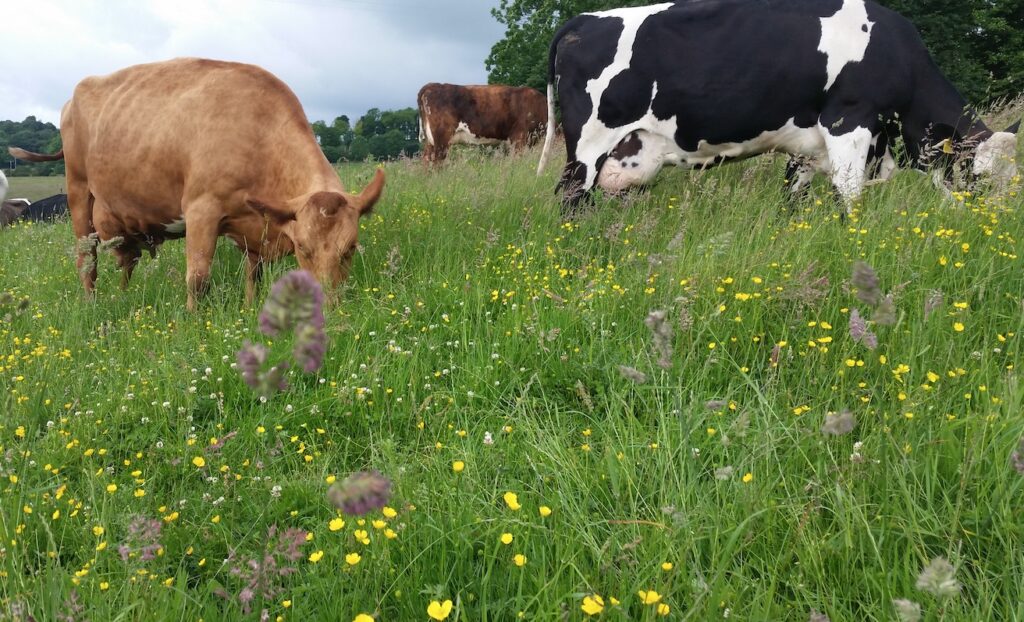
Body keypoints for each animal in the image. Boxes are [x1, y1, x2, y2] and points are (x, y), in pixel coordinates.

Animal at [9, 57, 385, 309]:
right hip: (78, 189)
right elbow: (198, 279)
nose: (328, 305)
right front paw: (192, 325)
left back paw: (123, 297)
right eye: (303, 248)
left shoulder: (256, 224)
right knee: (86, 260)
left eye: (351, 248)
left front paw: (249, 309)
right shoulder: (202, 210)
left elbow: (254, 275)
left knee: (127, 260)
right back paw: (92, 304)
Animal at [415, 84, 548, 163]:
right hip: (441, 139)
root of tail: (431, 85)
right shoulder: (519, 137)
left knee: (426, 160)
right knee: (436, 162)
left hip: (431, 141)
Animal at [540, 0, 1019, 209]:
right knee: (570, 200)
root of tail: (582, 20)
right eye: (977, 176)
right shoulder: (849, 122)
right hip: (587, 147)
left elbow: (793, 200)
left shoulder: (807, 148)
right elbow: (849, 199)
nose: (991, 222)